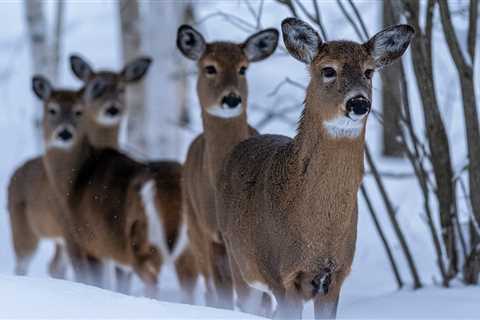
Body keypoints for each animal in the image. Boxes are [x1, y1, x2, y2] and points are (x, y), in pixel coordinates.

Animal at [69, 53, 199, 302]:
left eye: (121, 88)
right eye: (95, 87)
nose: (112, 108)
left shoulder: (90, 240)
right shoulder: (117, 256)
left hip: (143, 242)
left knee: (152, 280)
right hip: (187, 247)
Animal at [177, 25, 280, 312]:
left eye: (243, 68)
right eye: (210, 67)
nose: (232, 98)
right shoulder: (212, 234)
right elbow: (223, 296)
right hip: (194, 230)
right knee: (209, 290)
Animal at [216, 18, 414, 320]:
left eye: (369, 72)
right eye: (328, 70)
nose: (359, 102)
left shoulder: (336, 276)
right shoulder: (281, 274)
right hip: (239, 262)